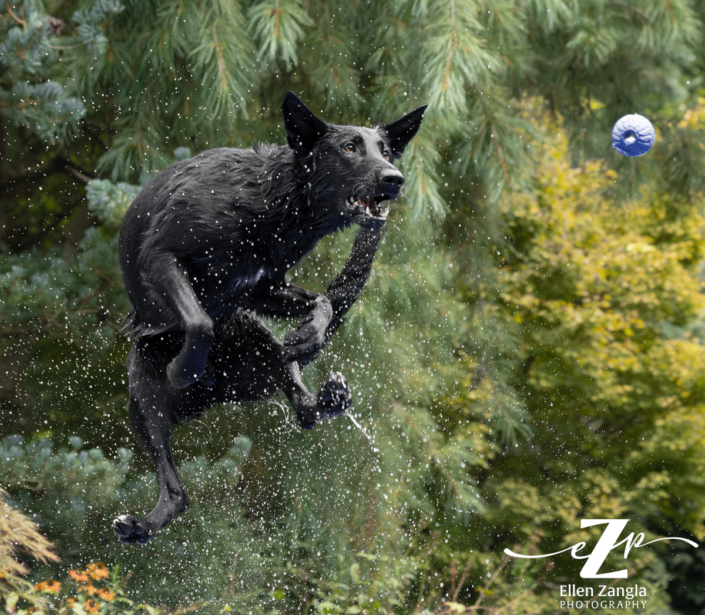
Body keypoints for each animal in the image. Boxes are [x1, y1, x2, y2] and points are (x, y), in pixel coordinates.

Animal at [113, 91, 426, 544]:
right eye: (350, 148)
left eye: (385, 151)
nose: (395, 178)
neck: (273, 202)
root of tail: (216, 392)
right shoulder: (163, 258)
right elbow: (200, 322)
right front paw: (184, 369)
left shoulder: (261, 289)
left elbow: (322, 303)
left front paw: (309, 335)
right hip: (142, 391)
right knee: (175, 490)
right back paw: (140, 524)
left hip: (257, 342)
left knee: (303, 409)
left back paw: (330, 395)